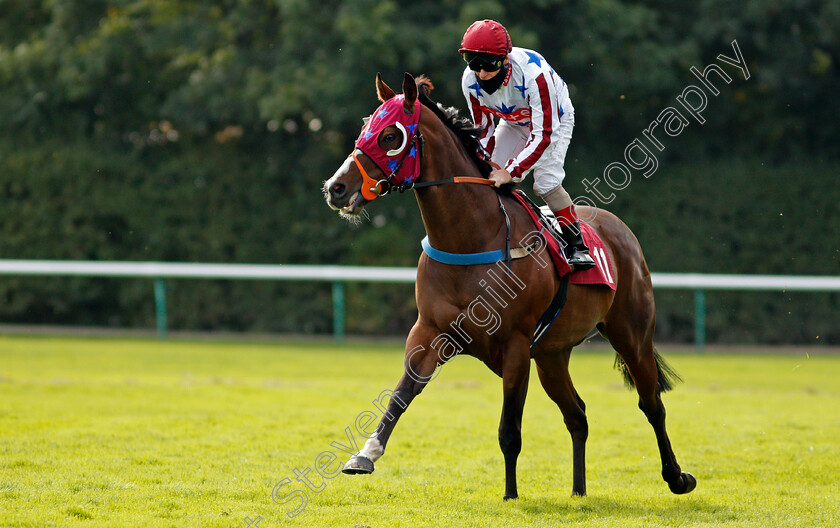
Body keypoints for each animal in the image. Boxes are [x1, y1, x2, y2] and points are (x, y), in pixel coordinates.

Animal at [322, 73, 696, 500]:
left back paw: (676, 476)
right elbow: (402, 394)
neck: (469, 238)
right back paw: (578, 490)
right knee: (578, 414)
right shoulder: (429, 332)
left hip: (631, 333)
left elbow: (509, 428)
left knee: (651, 404)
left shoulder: (516, 346)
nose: (335, 187)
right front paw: (364, 454)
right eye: (364, 128)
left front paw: (510, 494)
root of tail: (620, 230)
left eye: (389, 135)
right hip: (552, 355)